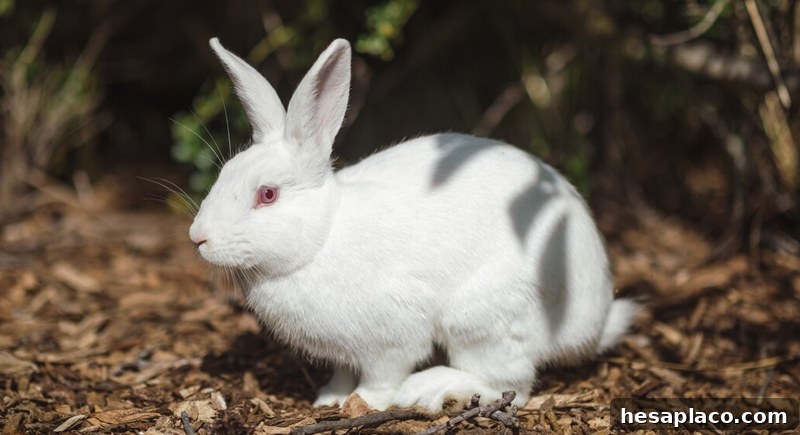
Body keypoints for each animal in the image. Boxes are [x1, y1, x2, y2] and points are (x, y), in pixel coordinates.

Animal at [189, 37, 638, 414]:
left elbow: (381, 377)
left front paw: (361, 403)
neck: (322, 238)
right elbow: (342, 373)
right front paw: (329, 399)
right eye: (225, 173)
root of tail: (593, 322)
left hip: (484, 320)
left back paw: (430, 389)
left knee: (510, 385)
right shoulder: (343, 354)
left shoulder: (392, 339)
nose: (198, 239)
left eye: (267, 194)